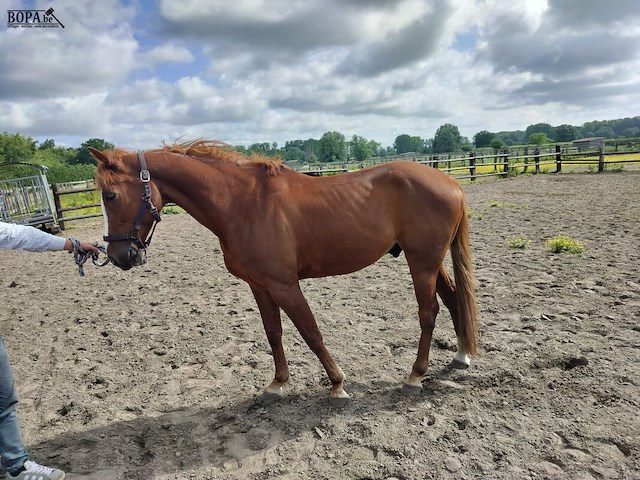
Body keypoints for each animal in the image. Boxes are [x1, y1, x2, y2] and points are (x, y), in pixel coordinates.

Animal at [90, 140, 478, 405]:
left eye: (110, 196)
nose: (119, 256)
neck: (242, 204)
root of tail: (451, 184)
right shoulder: (260, 286)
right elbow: (273, 333)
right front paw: (277, 383)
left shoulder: (285, 285)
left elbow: (311, 332)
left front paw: (337, 384)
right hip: (431, 261)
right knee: (453, 298)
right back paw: (461, 355)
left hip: (422, 262)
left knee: (428, 312)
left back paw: (415, 376)